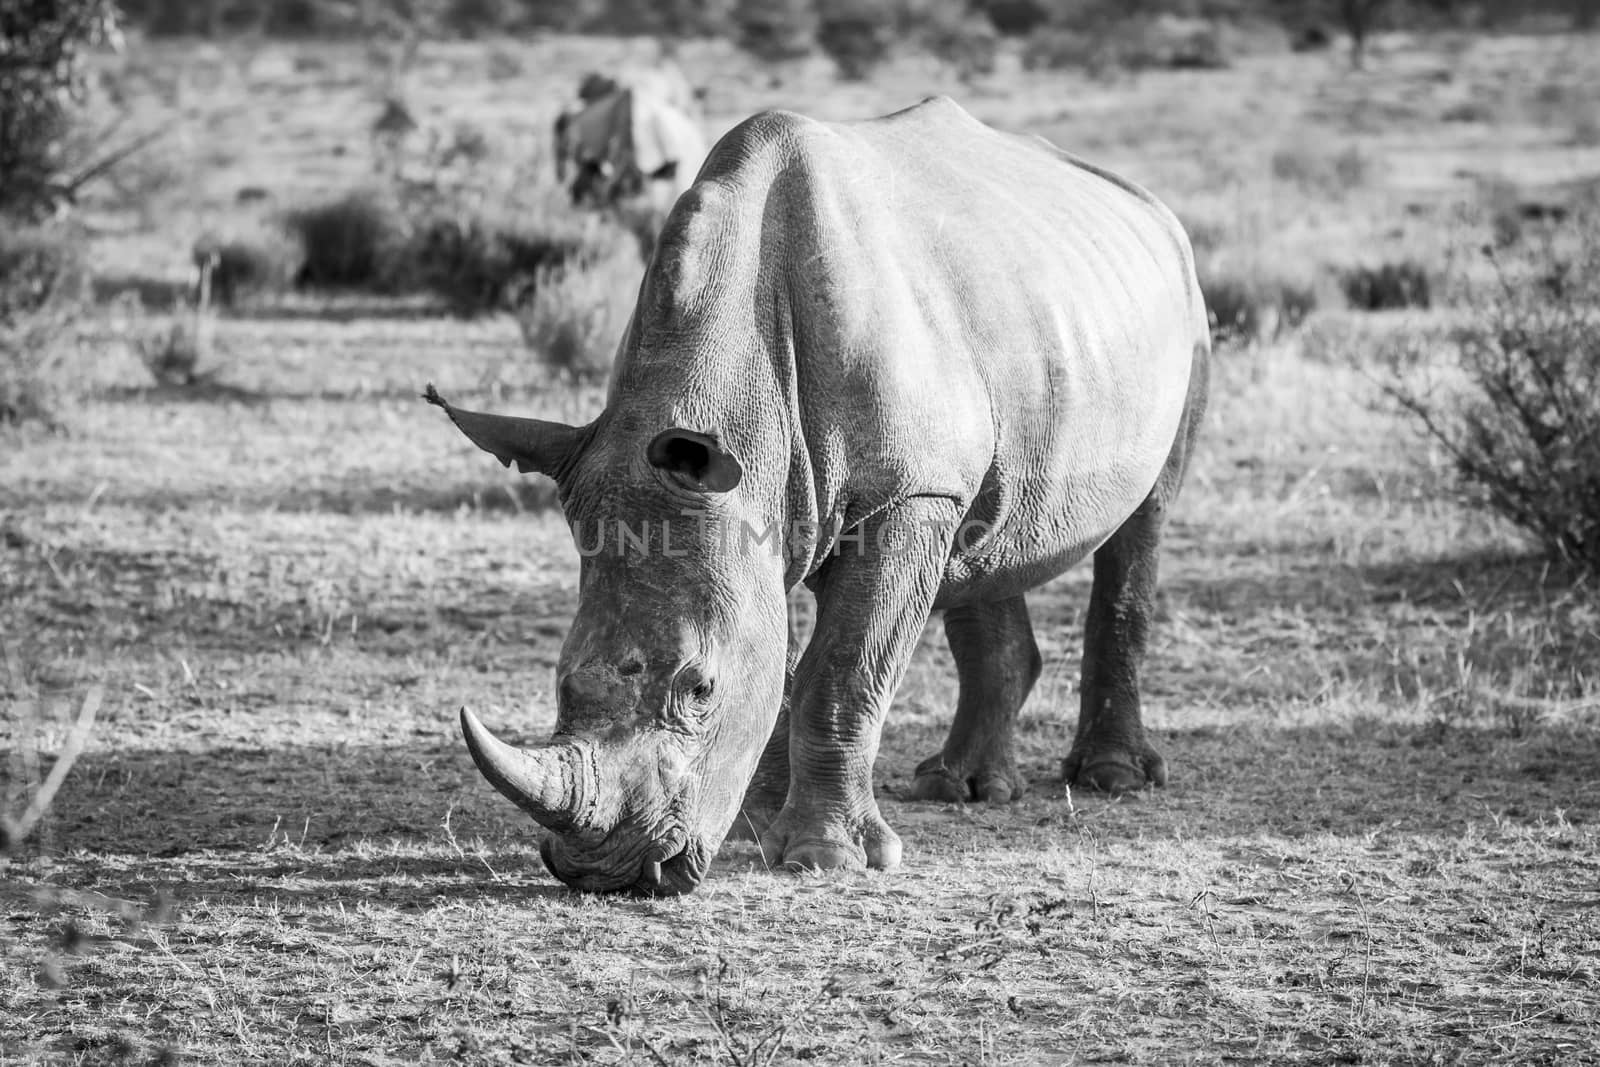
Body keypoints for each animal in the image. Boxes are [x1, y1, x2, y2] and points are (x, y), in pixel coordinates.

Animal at [432, 95, 1203, 895]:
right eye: (558, 680)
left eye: (700, 689)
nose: (607, 874)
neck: (733, 389)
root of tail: (1149, 206)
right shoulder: (754, 500)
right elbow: (781, 657)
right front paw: (757, 820)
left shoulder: (905, 493)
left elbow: (843, 668)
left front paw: (824, 856)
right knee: (986, 538)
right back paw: (958, 787)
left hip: (1182, 304)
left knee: (1143, 520)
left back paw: (1112, 778)